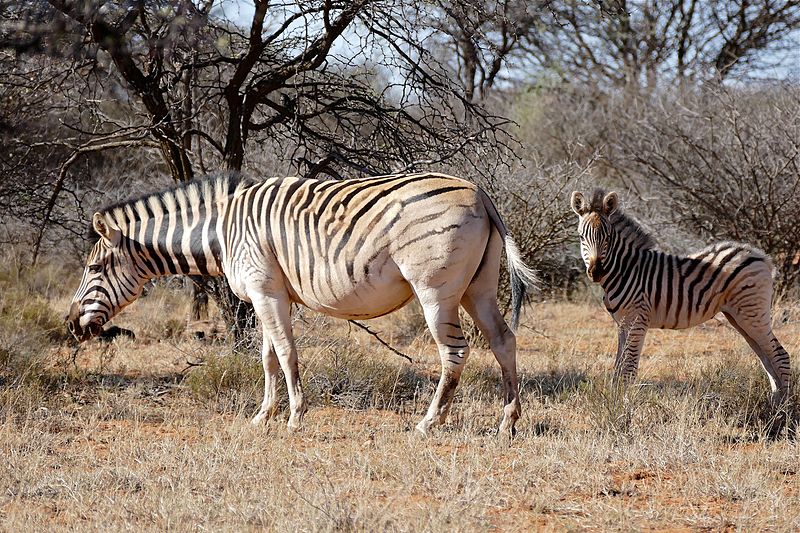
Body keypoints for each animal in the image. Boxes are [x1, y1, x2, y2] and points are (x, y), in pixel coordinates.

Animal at [65, 172, 536, 434]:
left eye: (93, 268)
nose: (70, 325)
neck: (222, 230)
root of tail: (479, 192)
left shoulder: (264, 289)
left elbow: (287, 353)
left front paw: (294, 416)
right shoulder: (273, 294)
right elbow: (269, 356)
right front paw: (263, 416)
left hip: (436, 291)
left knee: (454, 351)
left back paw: (428, 422)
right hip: (477, 288)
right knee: (503, 341)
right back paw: (507, 422)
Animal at [572, 189, 792, 406]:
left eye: (608, 237)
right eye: (582, 237)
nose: (596, 272)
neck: (625, 270)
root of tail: (761, 256)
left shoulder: (638, 320)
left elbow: (629, 367)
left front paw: (624, 405)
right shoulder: (623, 324)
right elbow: (619, 366)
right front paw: (614, 400)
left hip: (752, 313)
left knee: (780, 355)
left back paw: (784, 409)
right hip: (739, 317)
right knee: (766, 356)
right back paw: (775, 402)